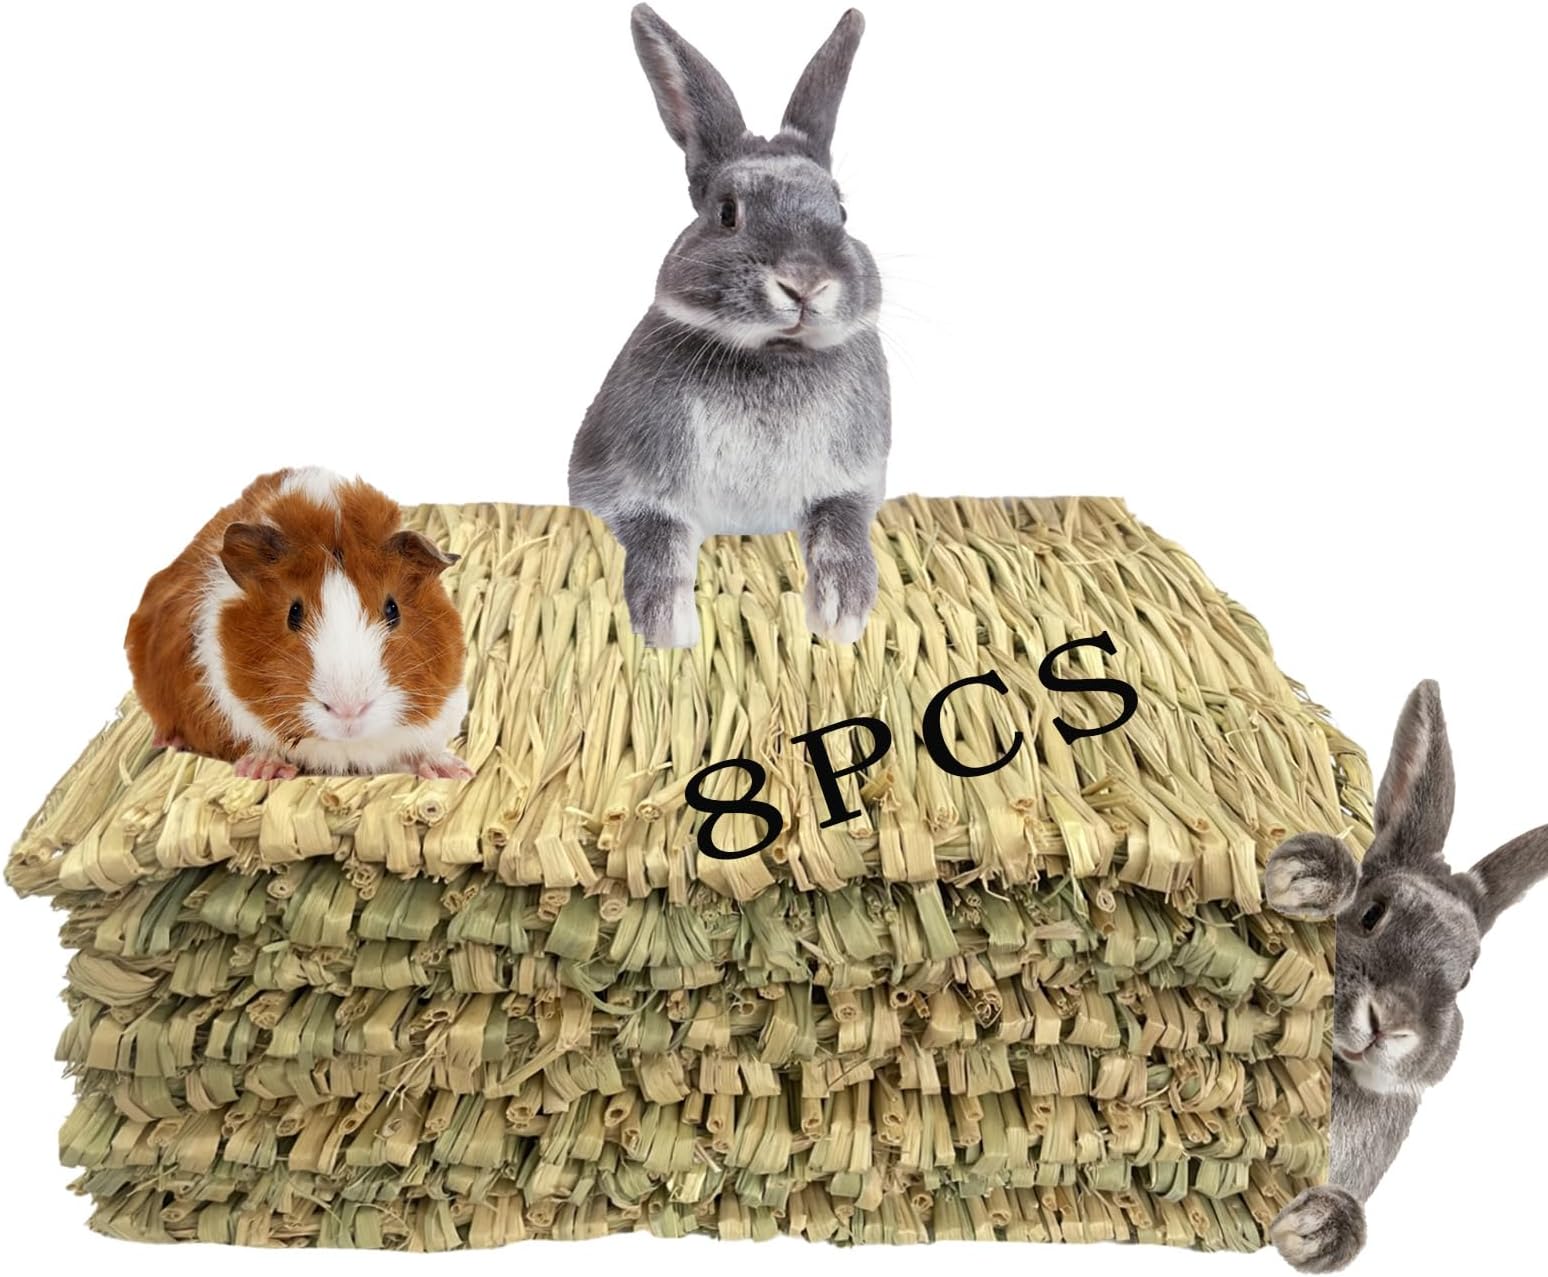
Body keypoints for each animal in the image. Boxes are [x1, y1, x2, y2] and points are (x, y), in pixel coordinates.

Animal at [568, 5, 890, 649]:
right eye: (726, 213)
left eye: (842, 212)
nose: (804, 282)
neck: (773, 356)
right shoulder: (622, 488)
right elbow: (660, 540)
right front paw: (667, 627)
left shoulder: (853, 485)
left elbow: (842, 532)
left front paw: (841, 615)